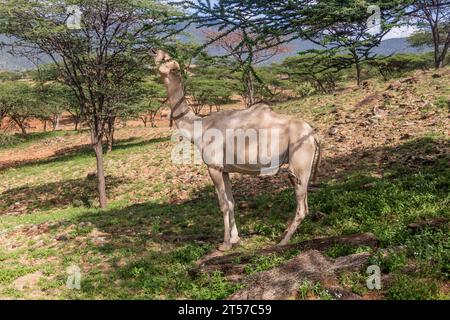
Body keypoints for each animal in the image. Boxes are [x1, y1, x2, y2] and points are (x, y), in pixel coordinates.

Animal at [153, 49, 322, 250]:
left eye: (166, 59)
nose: (155, 52)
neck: (199, 127)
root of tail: (313, 135)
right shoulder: (224, 169)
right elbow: (232, 202)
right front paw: (235, 239)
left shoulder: (214, 167)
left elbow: (223, 204)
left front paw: (225, 244)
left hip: (300, 161)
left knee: (301, 204)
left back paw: (282, 241)